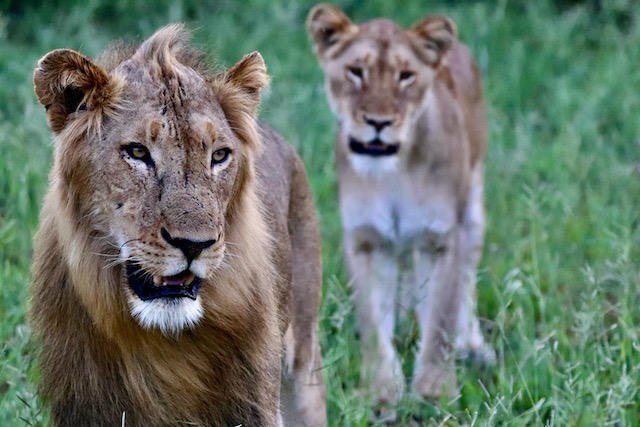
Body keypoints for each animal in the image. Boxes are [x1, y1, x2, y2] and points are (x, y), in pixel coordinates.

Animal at [308, 5, 492, 404]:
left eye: (405, 76)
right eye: (355, 71)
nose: (378, 123)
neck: (393, 172)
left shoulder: (442, 239)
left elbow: (440, 319)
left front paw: (434, 392)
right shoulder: (366, 240)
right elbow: (373, 322)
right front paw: (381, 392)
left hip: (472, 210)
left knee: (466, 281)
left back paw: (472, 345)